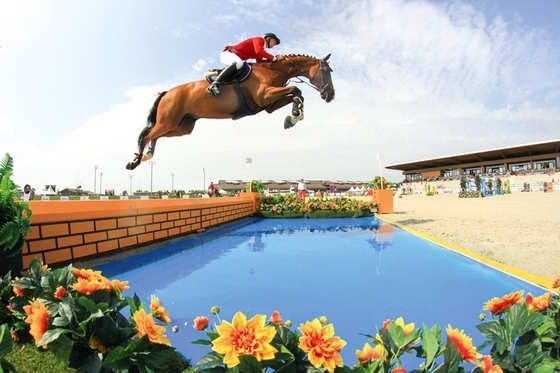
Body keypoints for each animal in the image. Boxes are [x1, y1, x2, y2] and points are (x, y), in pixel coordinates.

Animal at [124, 53, 334, 169]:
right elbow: (296, 90)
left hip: (182, 126)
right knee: (147, 134)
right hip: (169, 121)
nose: (330, 95)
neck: (276, 70)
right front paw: (296, 114)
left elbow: (295, 94)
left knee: (156, 134)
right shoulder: (265, 96)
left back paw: (148, 154)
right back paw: (135, 161)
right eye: (326, 71)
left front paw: (292, 117)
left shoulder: (268, 105)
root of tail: (167, 92)